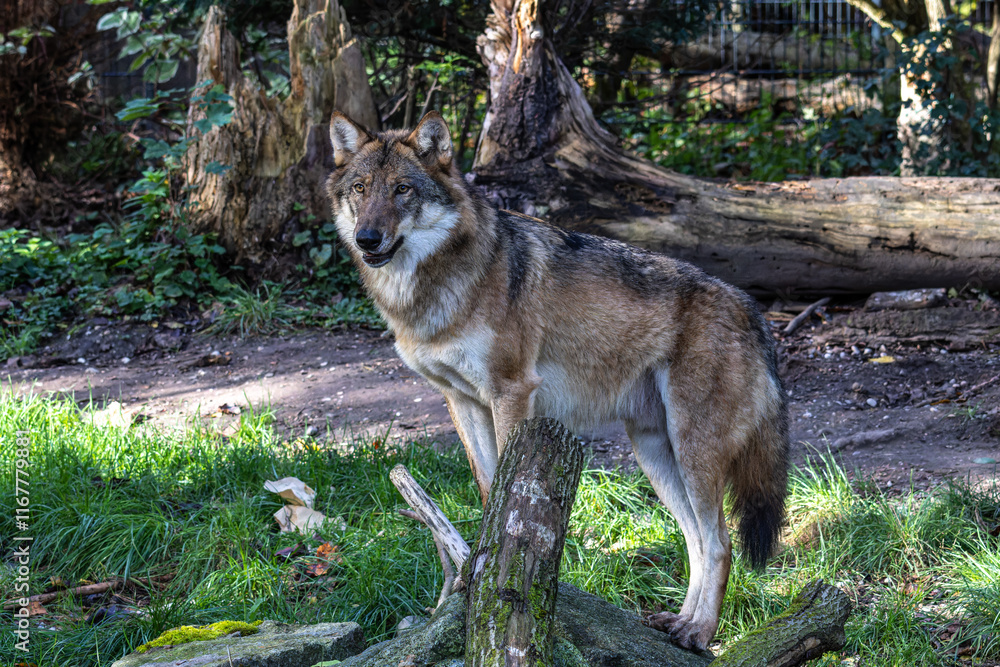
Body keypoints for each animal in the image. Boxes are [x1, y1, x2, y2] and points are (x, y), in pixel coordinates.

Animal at [325, 110, 789, 650]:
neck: (437, 288)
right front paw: (473, 575)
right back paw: (678, 622)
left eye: (402, 190)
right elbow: (489, 491)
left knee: (720, 542)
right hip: (655, 454)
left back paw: (698, 631)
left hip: (692, 452)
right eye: (361, 189)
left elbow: (505, 495)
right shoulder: (462, 402)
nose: (367, 238)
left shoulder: (511, 392)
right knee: (696, 539)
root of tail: (753, 310)